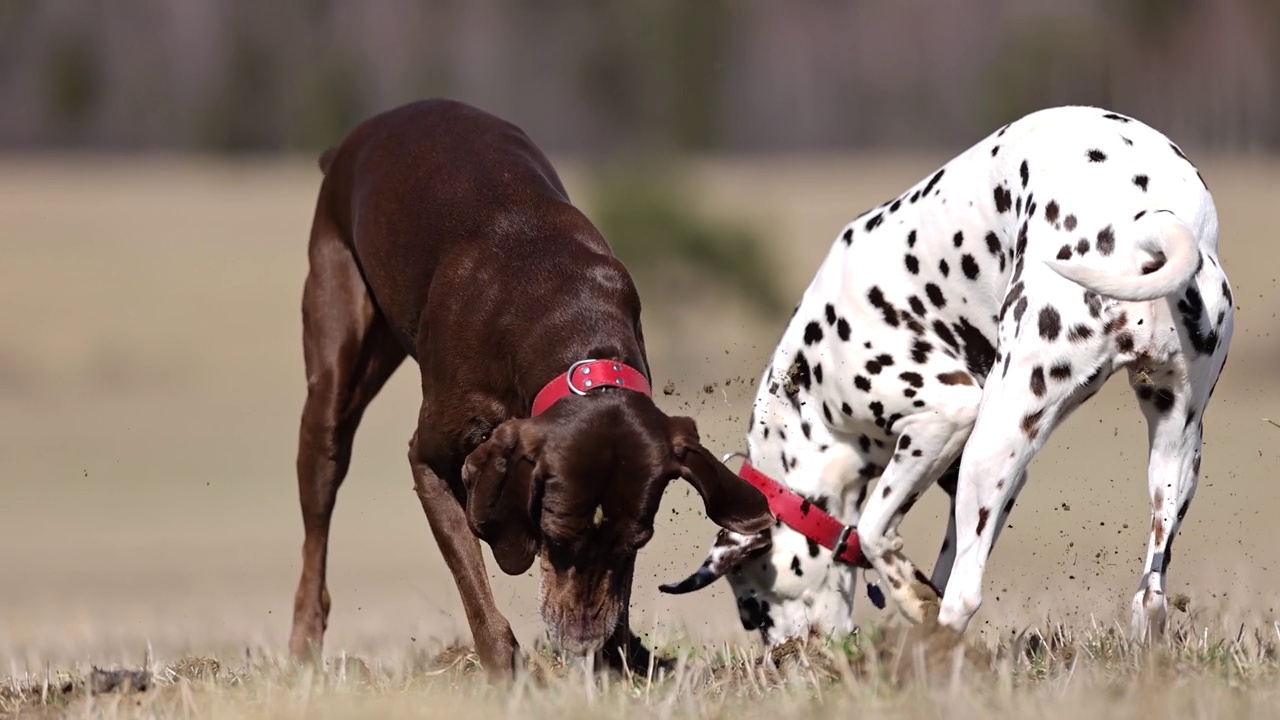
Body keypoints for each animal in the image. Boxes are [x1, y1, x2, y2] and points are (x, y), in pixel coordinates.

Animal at [288, 98, 768, 676]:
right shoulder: (430, 463)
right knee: (318, 519)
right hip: (332, 359)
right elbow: (475, 591)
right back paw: (302, 648)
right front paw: (508, 674)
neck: (562, 308)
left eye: (635, 543)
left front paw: (622, 658)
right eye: (554, 537)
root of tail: (355, 139)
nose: (580, 642)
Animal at [660, 105, 1228, 645]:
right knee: (1150, 595)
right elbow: (940, 554)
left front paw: (912, 599)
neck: (808, 394)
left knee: (964, 596)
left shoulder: (942, 420)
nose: (786, 659)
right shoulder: (975, 483)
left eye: (752, 611)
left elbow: (874, 531)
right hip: (1173, 451)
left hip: (992, 439)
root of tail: (1142, 223)